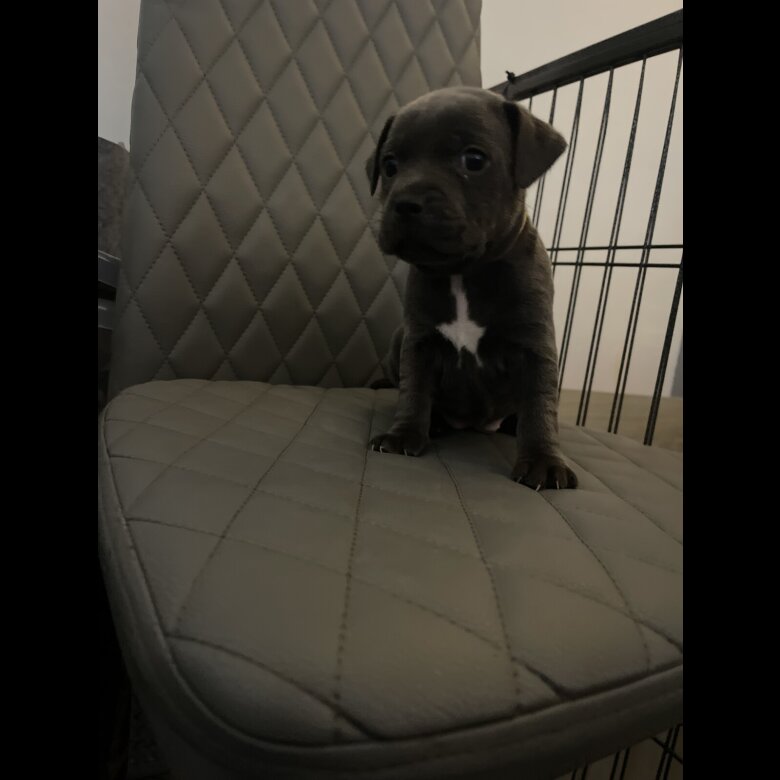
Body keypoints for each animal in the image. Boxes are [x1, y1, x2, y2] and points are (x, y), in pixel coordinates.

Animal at [365, 86, 577, 490]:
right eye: (390, 166)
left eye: (474, 160)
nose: (405, 202)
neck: (464, 272)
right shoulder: (417, 342)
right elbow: (414, 389)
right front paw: (404, 434)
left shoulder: (535, 347)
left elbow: (540, 405)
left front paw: (543, 459)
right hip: (398, 339)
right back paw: (435, 423)